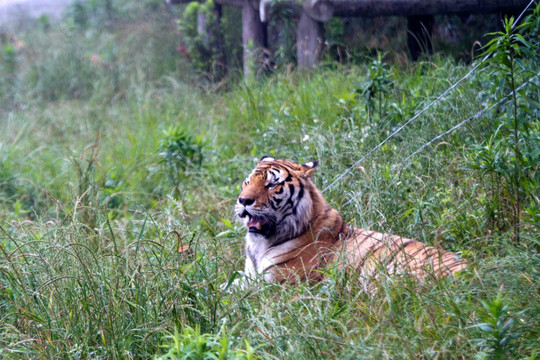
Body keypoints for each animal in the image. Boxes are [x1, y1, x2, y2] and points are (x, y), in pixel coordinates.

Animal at [234, 156, 466, 286]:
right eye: (247, 182)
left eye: (272, 184)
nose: (243, 200)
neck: (260, 244)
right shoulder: (246, 278)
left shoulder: (276, 287)